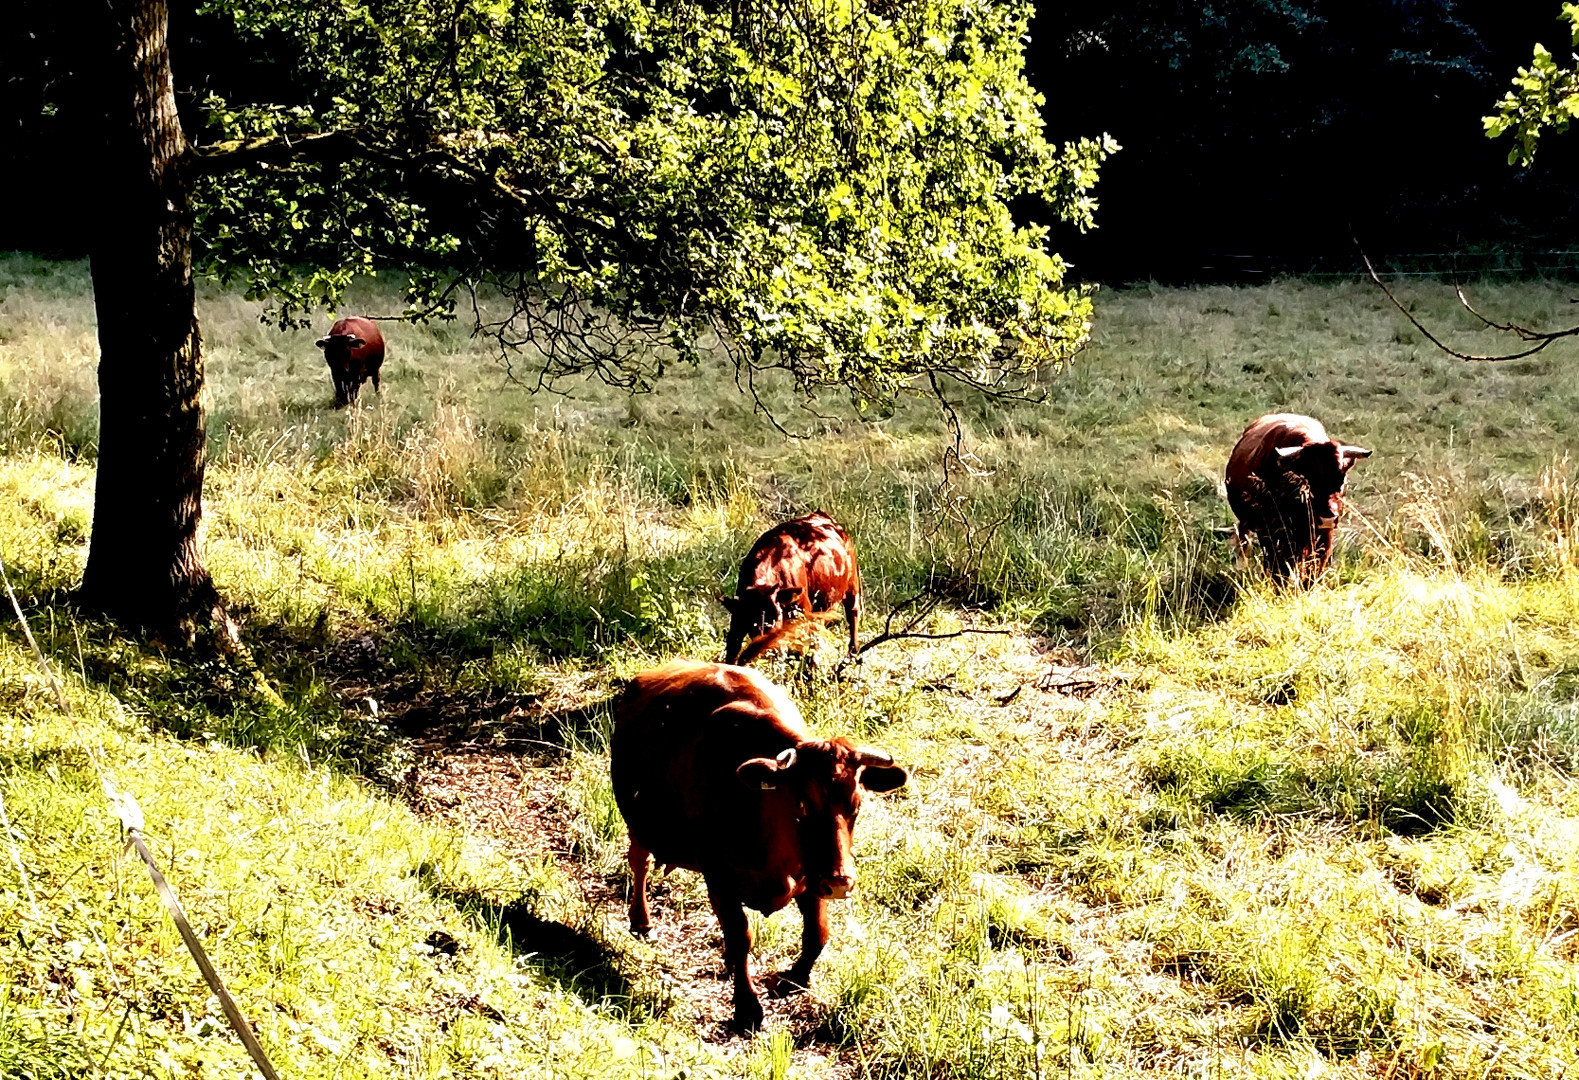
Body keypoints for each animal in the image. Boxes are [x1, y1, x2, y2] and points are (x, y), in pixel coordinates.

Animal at [609, 656, 909, 1029]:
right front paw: (747, 1007)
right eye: (802, 805)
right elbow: (741, 936)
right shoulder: (719, 877)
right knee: (640, 863)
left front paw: (794, 979)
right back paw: (642, 921)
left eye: (855, 805)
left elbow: (818, 933)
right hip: (638, 822)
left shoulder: (811, 876)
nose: (840, 882)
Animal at [723, 511, 858, 663]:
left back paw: (852, 655)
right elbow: (732, 650)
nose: (767, 647)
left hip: (852, 584)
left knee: (853, 614)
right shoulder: (737, 618)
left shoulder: (802, 610)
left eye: (777, 618)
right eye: (753, 625)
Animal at [1218, 413, 1370, 581]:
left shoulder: (1324, 536)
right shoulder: (1270, 533)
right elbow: (1277, 569)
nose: (1327, 519)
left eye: (1341, 479)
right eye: (1307, 478)